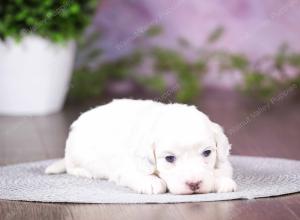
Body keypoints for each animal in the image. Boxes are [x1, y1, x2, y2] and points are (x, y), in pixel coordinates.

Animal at [45, 99, 237, 194]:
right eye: (169, 158)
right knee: (71, 166)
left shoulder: (223, 161)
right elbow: (138, 174)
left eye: (207, 153)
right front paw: (152, 182)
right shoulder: (126, 166)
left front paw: (222, 181)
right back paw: (83, 172)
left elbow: (222, 169)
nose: (194, 184)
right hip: (75, 152)